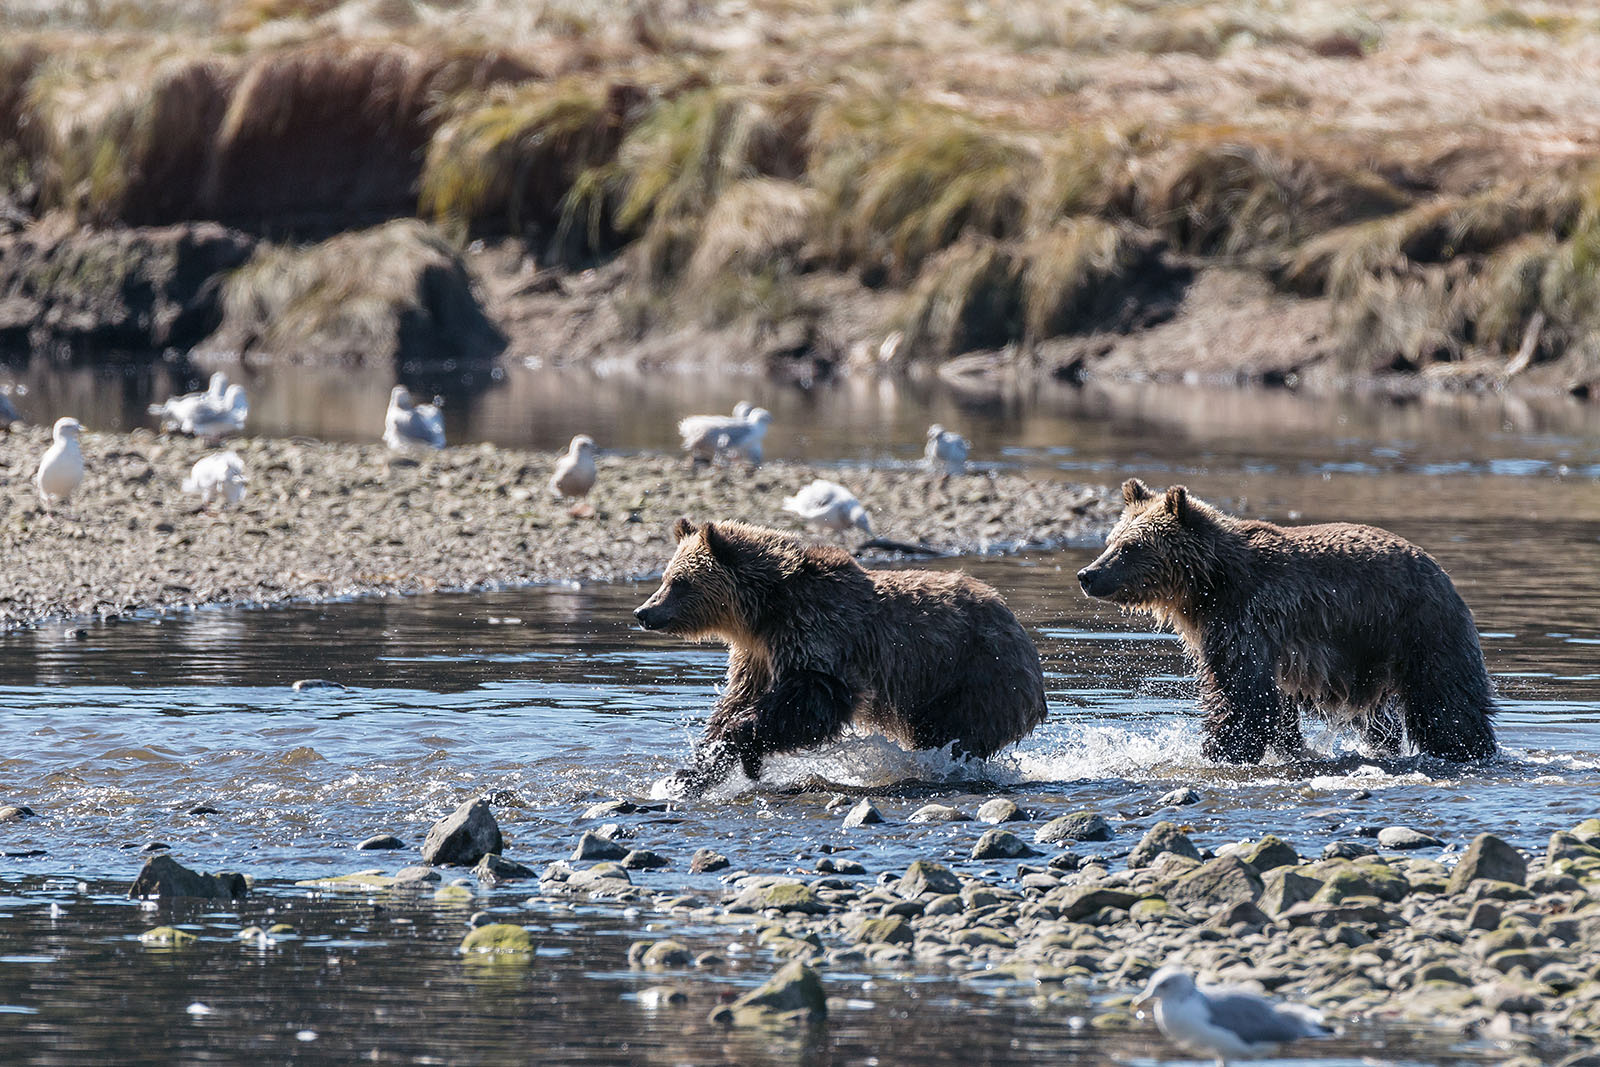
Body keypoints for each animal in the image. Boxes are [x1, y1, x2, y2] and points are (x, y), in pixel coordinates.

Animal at [633, 518, 1048, 794]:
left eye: (679, 582)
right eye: (666, 577)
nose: (644, 612)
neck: (764, 610)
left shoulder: (818, 635)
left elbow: (815, 698)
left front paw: (742, 747)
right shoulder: (758, 655)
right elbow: (735, 702)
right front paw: (692, 771)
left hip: (974, 677)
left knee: (952, 736)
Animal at [1076, 478, 1497, 763]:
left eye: (1130, 547)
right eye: (1110, 541)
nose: (1087, 574)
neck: (1207, 586)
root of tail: (1440, 571)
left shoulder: (1246, 617)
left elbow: (1238, 693)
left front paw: (1218, 750)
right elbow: (1270, 701)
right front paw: (1286, 745)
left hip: (1419, 628)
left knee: (1447, 699)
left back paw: (1466, 747)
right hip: (1368, 656)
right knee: (1382, 720)